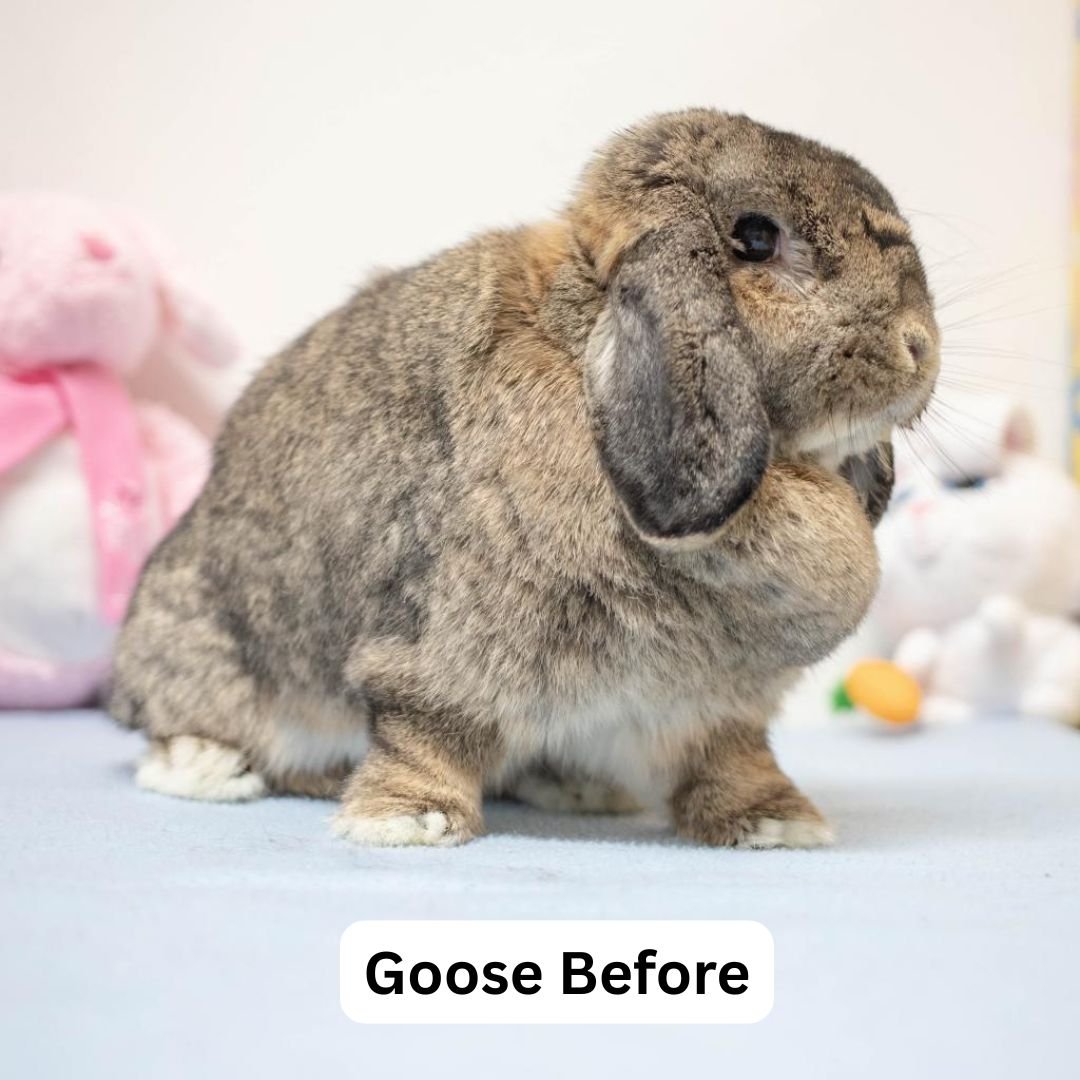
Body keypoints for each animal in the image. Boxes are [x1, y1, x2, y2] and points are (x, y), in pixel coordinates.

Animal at [109, 109, 939, 848]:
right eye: (756, 239)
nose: (920, 347)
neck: (579, 335)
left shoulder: (718, 707)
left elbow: (732, 761)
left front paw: (776, 822)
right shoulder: (439, 654)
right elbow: (423, 734)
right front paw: (406, 822)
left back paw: (580, 786)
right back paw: (208, 767)